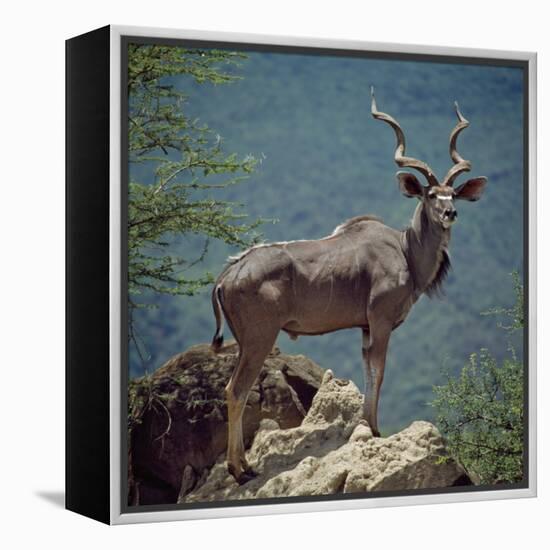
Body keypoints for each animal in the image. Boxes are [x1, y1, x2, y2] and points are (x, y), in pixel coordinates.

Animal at [210, 89, 488, 484]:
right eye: (431, 195)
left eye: (453, 194)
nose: (451, 214)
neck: (405, 249)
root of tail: (227, 274)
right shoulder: (381, 321)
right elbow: (380, 371)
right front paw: (374, 430)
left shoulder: (365, 327)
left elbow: (368, 370)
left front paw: (367, 426)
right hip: (261, 338)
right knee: (236, 389)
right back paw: (240, 470)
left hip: (245, 341)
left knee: (233, 388)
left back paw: (244, 465)